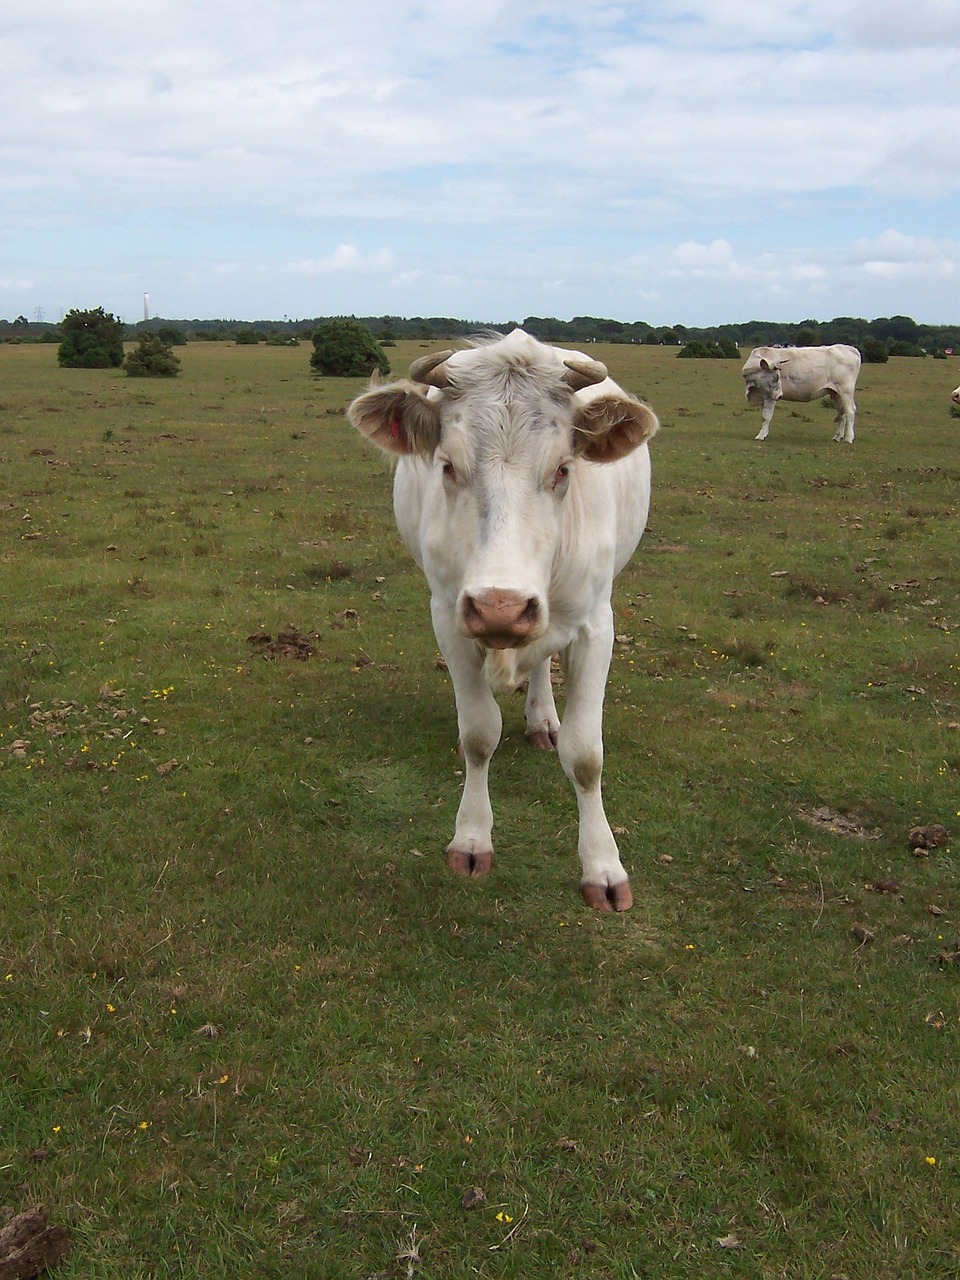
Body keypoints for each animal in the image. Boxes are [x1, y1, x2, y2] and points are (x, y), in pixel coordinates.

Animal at [348, 330, 660, 911]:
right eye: (448, 465)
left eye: (563, 468)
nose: (502, 606)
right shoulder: (448, 616)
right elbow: (477, 734)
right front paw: (472, 840)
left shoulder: (595, 625)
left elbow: (587, 755)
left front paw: (603, 867)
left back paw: (542, 719)